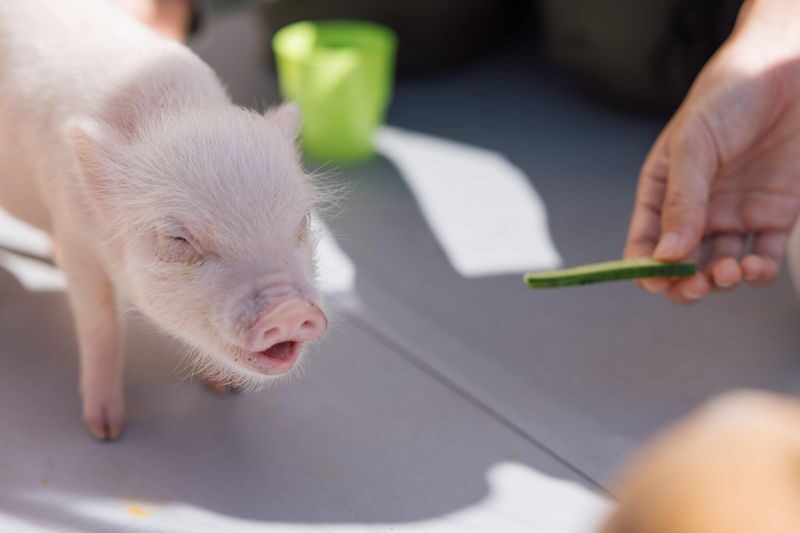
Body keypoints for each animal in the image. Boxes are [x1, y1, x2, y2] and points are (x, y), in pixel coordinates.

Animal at [0, 0, 328, 440]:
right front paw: (106, 431)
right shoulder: (74, 233)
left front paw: (228, 391)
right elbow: (101, 326)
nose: (291, 311)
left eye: (303, 221)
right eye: (178, 239)